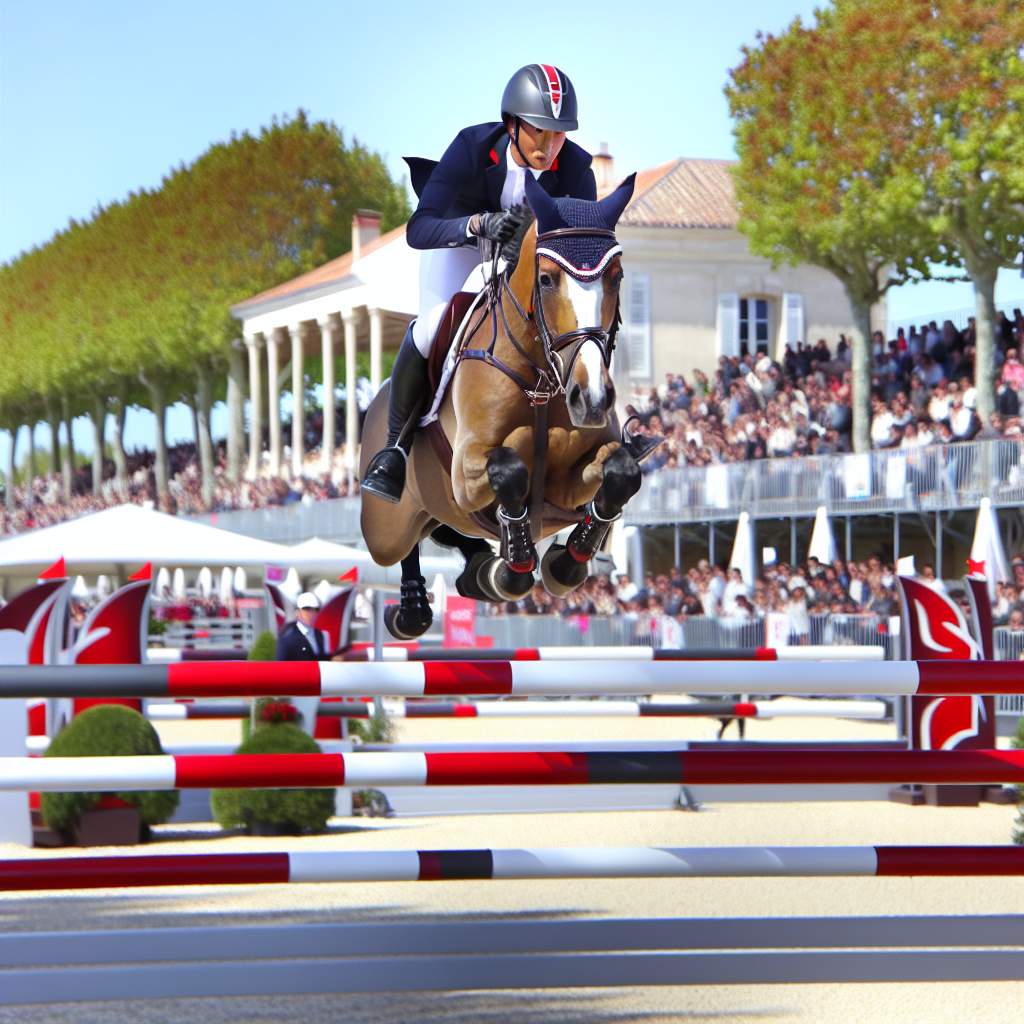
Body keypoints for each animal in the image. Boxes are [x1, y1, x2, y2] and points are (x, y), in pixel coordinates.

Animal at [358, 175, 647, 638]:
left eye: (617, 277)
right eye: (546, 280)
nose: (591, 399)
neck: (543, 383)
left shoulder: (569, 484)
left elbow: (621, 472)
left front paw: (566, 563)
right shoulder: (466, 471)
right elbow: (509, 469)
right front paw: (514, 570)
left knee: (444, 528)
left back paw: (478, 571)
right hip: (385, 528)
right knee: (406, 541)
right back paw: (414, 606)